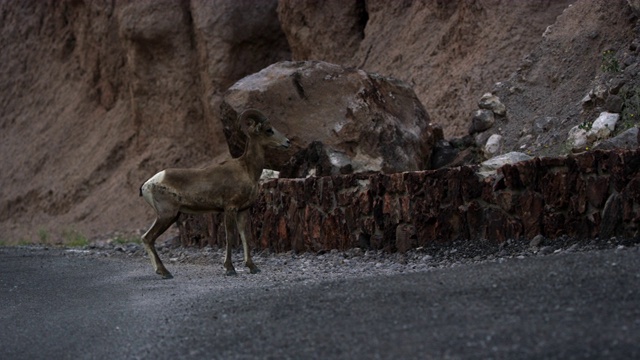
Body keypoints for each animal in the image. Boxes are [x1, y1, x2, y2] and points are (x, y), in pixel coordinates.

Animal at [141, 109, 292, 278]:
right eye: (268, 130)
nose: (287, 142)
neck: (247, 170)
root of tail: (148, 184)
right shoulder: (230, 209)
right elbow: (230, 236)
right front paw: (230, 268)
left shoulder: (243, 211)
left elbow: (245, 236)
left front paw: (253, 267)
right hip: (167, 215)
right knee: (148, 238)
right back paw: (165, 272)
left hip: (171, 216)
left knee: (147, 238)